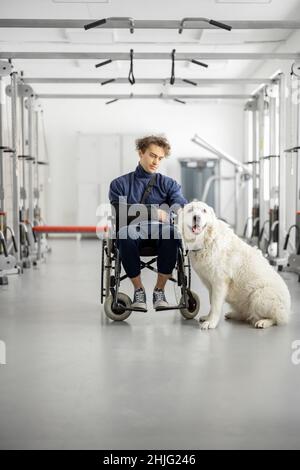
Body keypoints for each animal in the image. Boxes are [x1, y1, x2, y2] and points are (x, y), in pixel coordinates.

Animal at [178, 202, 290, 330]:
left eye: (204, 211)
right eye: (190, 210)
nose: (196, 217)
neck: (207, 241)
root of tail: (287, 309)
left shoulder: (220, 283)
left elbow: (215, 305)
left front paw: (211, 322)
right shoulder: (211, 285)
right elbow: (211, 302)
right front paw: (208, 317)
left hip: (258, 295)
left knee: (276, 318)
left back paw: (263, 322)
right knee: (246, 315)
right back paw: (233, 314)